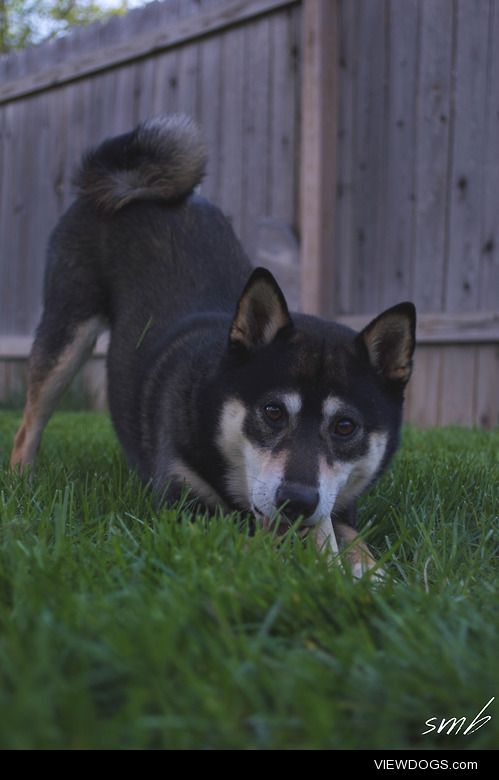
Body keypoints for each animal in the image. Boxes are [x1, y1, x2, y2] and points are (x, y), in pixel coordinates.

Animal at [12, 117, 418, 580]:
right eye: (273, 412)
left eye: (345, 427)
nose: (297, 501)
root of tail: (130, 183)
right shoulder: (184, 511)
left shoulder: (339, 508)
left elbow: (353, 539)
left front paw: (375, 575)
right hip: (67, 330)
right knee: (30, 423)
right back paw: (22, 482)